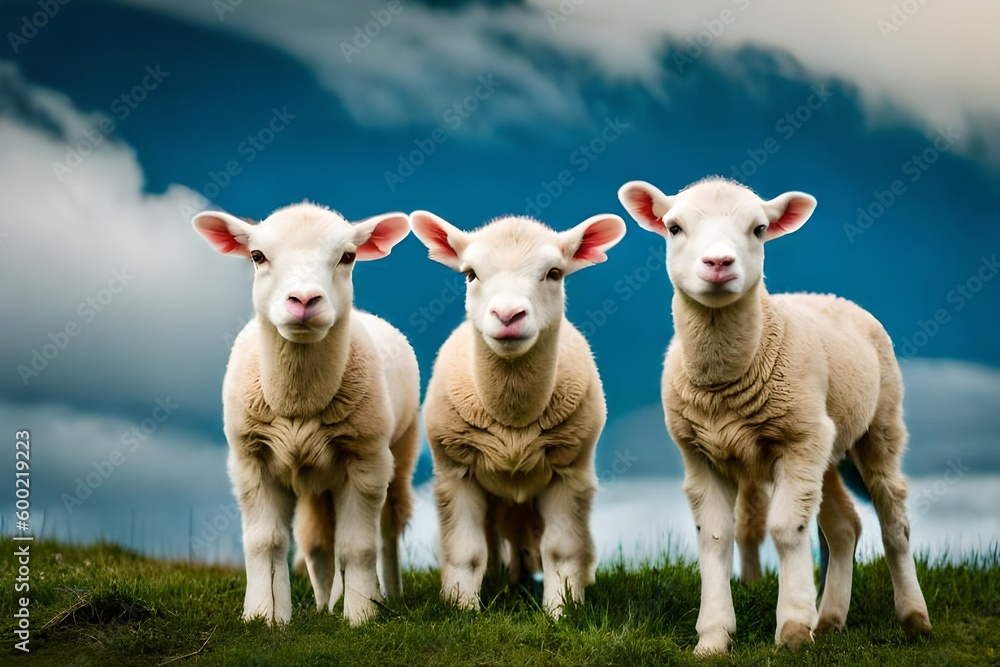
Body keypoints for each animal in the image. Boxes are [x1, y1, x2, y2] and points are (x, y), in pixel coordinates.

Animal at [192, 203, 420, 626]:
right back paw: (325, 603)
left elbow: (358, 546)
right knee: (319, 543)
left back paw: (388, 595)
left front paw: (361, 615)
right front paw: (264, 616)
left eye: (348, 256)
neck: (299, 401)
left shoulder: (366, 459)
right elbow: (265, 543)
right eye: (257, 255)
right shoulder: (250, 459)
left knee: (388, 529)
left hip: (401, 447)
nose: (303, 300)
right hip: (318, 481)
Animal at [409, 210, 626, 617]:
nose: (508, 314)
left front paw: (561, 611)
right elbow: (466, 552)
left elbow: (561, 550)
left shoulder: (569, 471)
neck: (513, 416)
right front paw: (463, 609)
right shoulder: (456, 470)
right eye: (470, 274)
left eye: (554, 273)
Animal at [618, 177, 932, 654]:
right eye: (673, 228)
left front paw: (794, 627)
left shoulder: (796, 441)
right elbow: (714, 538)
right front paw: (713, 636)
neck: (725, 385)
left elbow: (787, 528)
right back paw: (831, 619)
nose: (718, 262)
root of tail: (827, 296)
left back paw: (913, 617)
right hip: (826, 443)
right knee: (845, 526)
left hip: (877, 426)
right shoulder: (700, 454)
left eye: (760, 229)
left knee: (894, 518)